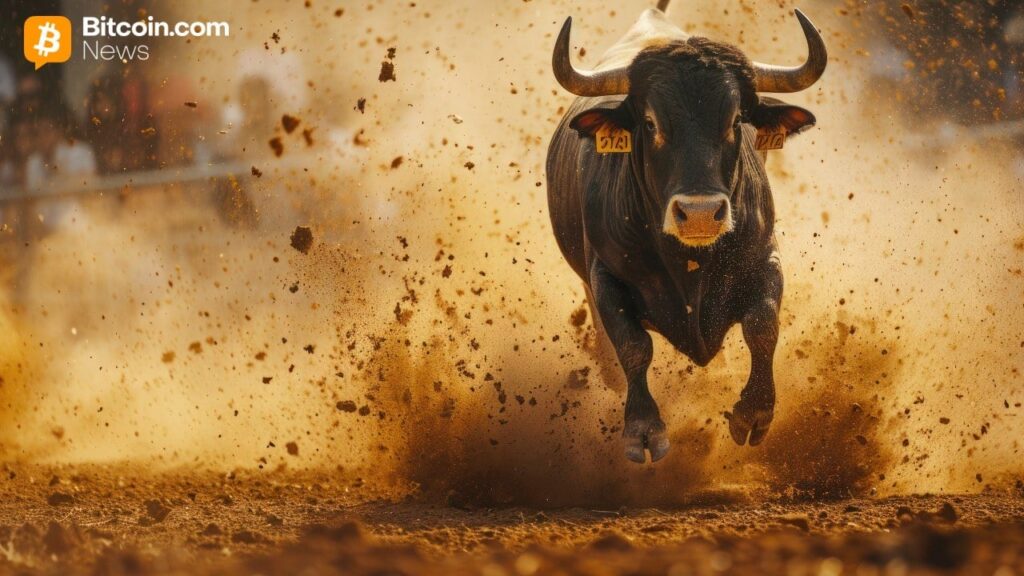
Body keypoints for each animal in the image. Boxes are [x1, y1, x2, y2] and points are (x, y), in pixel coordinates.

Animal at [545, 2, 827, 463]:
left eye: (736, 120)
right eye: (650, 122)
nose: (698, 214)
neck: (688, 262)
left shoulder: (765, 257)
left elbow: (763, 324)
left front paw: (754, 413)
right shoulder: (605, 277)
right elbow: (633, 345)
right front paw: (643, 429)